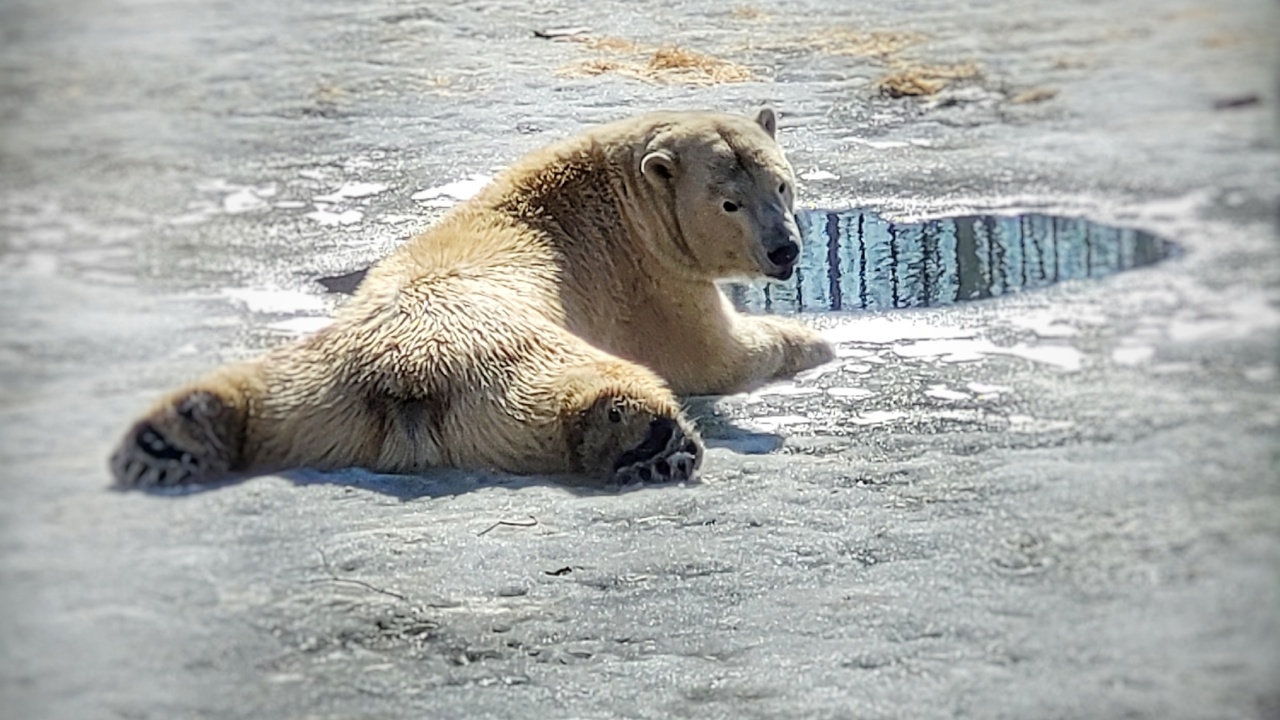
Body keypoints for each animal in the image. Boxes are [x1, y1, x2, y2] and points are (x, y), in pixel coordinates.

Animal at [107, 106, 829, 486]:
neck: (614, 192)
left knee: (259, 391)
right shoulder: (649, 279)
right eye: (731, 202)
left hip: (314, 379)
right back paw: (642, 436)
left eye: (782, 184)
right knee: (582, 384)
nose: (786, 251)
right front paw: (815, 341)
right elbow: (714, 356)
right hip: (512, 358)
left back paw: (172, 435)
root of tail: (404, 380)